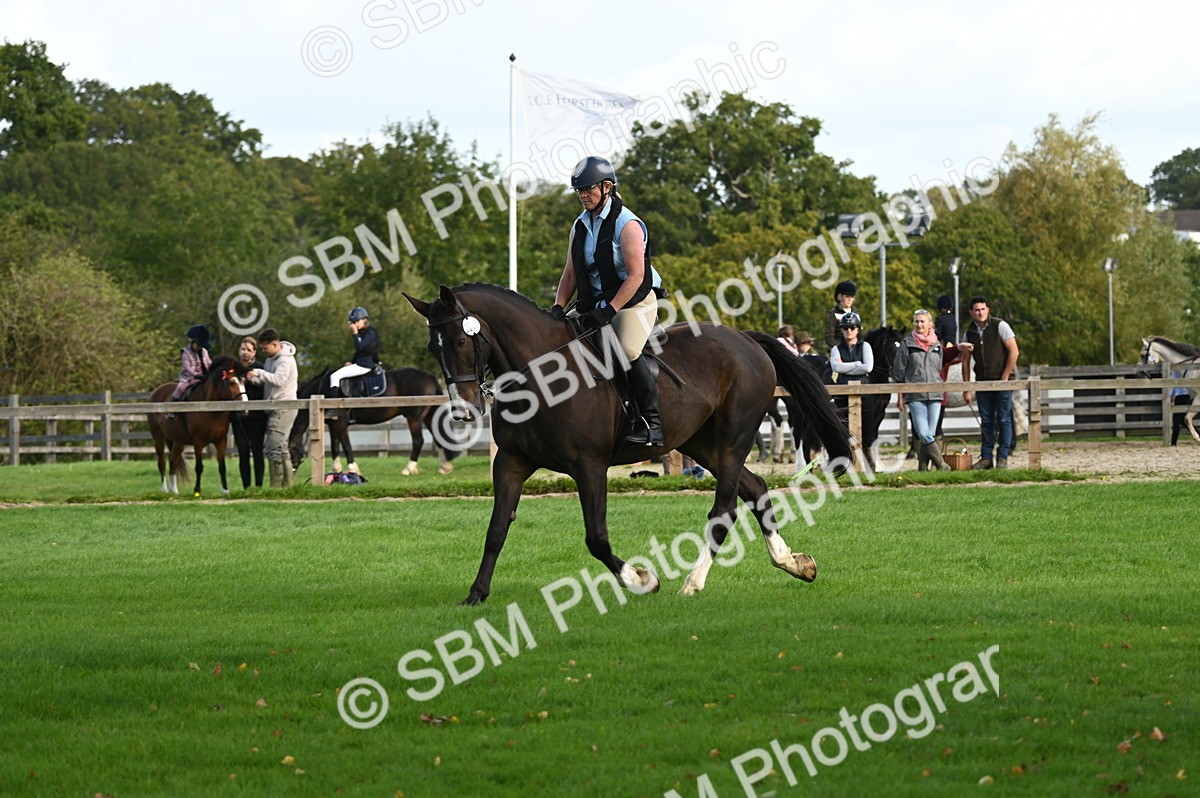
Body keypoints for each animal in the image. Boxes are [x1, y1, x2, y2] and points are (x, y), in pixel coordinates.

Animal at [147, 355, 248, 496]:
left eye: (244, 381)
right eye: (232, 382)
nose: (245, 409)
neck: (212, 410)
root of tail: (157, 391)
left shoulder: (221, 440)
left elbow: (222, 466)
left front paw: (225, 490)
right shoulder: (198, 441)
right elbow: (199, 466)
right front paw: (197, 490)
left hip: (179, 441)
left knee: (173, 461)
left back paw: (174, 490)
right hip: (158, 437)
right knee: (162, 462)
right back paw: (165, 489)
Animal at [287, 367, 460, 476]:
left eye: (289, 451)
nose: (292, 471)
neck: (323, 390)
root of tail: (430, 376)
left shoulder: (340, 424)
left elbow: (346, 446)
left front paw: (353, 469)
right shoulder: (333, 424)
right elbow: (335, 446)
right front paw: (336, 469)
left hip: (414, 418)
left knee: (418, 441)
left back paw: (409, 468)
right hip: (427, 415)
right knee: (438, 438)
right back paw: (444, 466)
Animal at [404, 283, 852, 605]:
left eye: (461, 342)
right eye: (432, 347)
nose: (463, 411)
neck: (541, 376)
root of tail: (746, 339)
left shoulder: (589, 465)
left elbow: (596, 538)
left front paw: (641, 579)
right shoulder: (511, 462)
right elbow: (496, 529)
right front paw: (477, 593)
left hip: (732, 440)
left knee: (723, 510)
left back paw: (692, 583)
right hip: (701, 445)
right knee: (756, 488)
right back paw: (793, 563)